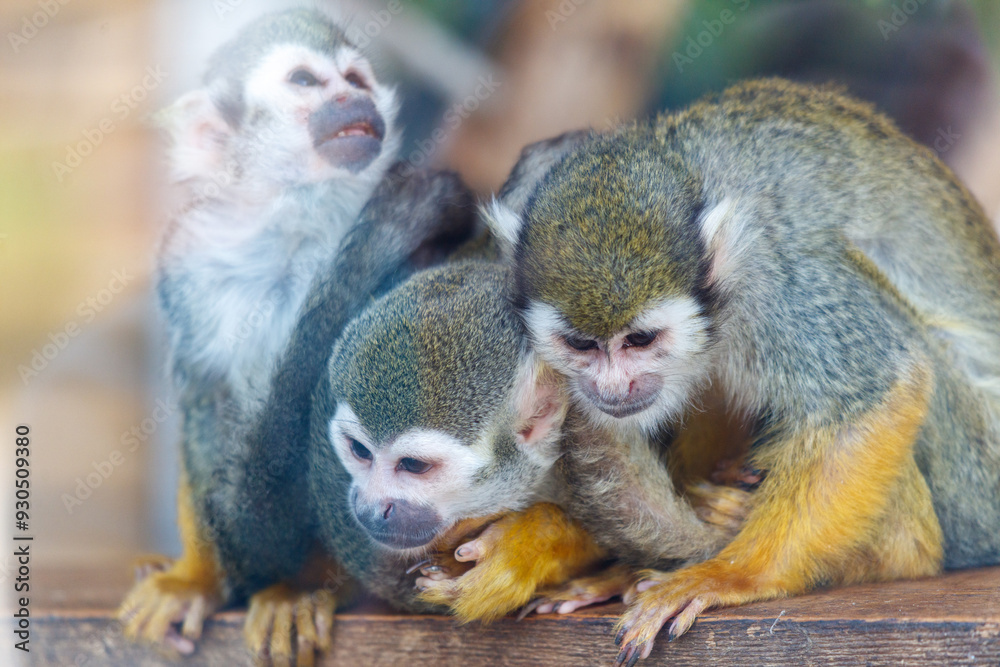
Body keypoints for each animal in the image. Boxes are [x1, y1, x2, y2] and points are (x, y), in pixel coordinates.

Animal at [118, 8, 474, 662]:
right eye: (306, 81)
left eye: (355, 78)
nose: (353, 97)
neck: (297, 222)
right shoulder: (188, 251)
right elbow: (206, 396)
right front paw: (198, 580)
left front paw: (303, 589)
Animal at [485, 78, 1000, 664]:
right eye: (580, 345)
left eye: (640, 340)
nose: (611, 388)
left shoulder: (779, 278)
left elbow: (881, 387)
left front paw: (731, 574)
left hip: (973, 480)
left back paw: (899, 552)